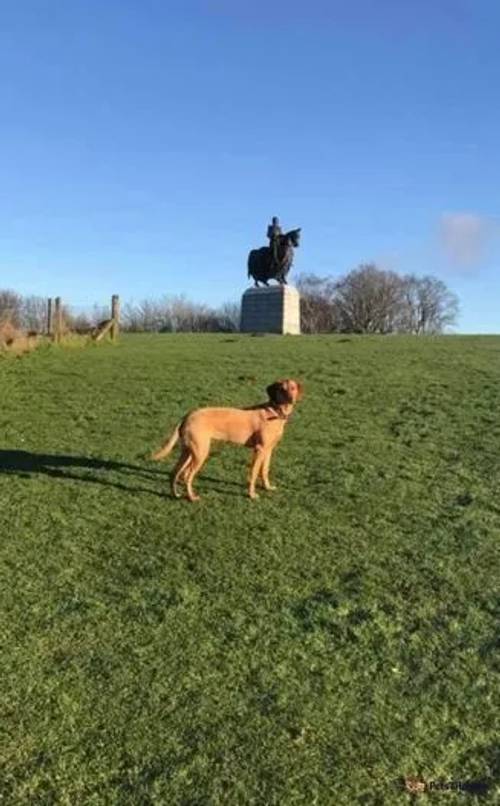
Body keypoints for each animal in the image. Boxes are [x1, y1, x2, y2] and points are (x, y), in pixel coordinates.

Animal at [150, 380, 302, 504]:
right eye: (282, 389)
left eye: (293, 388)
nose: (291, 399)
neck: (274, 412)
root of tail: (187, 415)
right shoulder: (259, 450)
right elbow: (253, 473)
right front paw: (252, 495)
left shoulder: (268, 450)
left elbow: (264, 471)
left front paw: (267, 487)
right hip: (200, 452)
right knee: (187, 476)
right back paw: (192, 498)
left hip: (188, 452)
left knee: (175, 473)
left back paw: (175, 495)